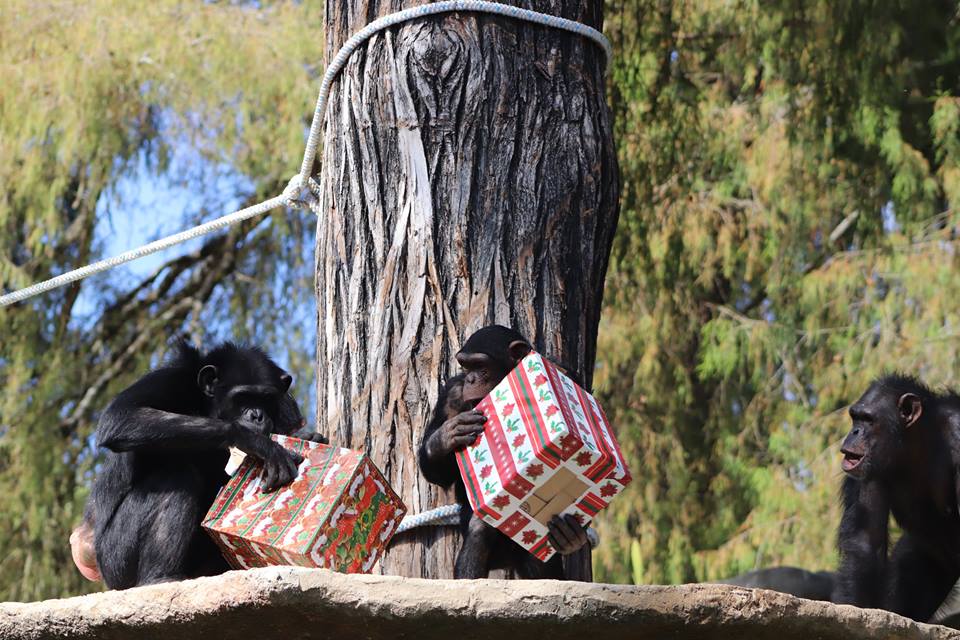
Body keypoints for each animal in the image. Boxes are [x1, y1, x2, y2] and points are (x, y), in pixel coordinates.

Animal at [87, 340, 326, 592]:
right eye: (241, 397)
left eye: (266, 399)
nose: (257, 415)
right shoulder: (170, 379)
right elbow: (122, 416)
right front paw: (256, 441)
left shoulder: (286, 406)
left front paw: (309, 437)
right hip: (116, 560)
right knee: (177, 474)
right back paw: (158, 578)